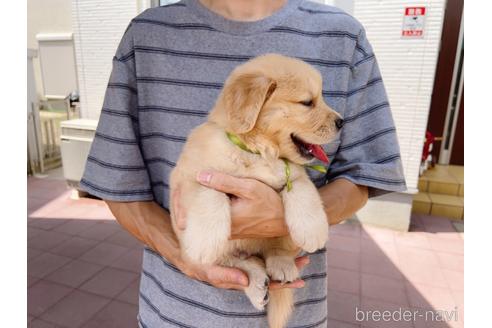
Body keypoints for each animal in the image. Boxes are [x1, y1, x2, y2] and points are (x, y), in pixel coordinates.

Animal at [169, 53, 342, 328]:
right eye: (307, 102)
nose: (341, 122)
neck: (259, 152)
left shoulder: (294, 174)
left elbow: (303, 191)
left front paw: (312, 230)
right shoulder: (190, 177)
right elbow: (209, 193)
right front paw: (205, 242)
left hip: (279, 237)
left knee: (275, 250)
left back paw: (281, 268)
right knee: (238, 261)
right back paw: (256, 282)